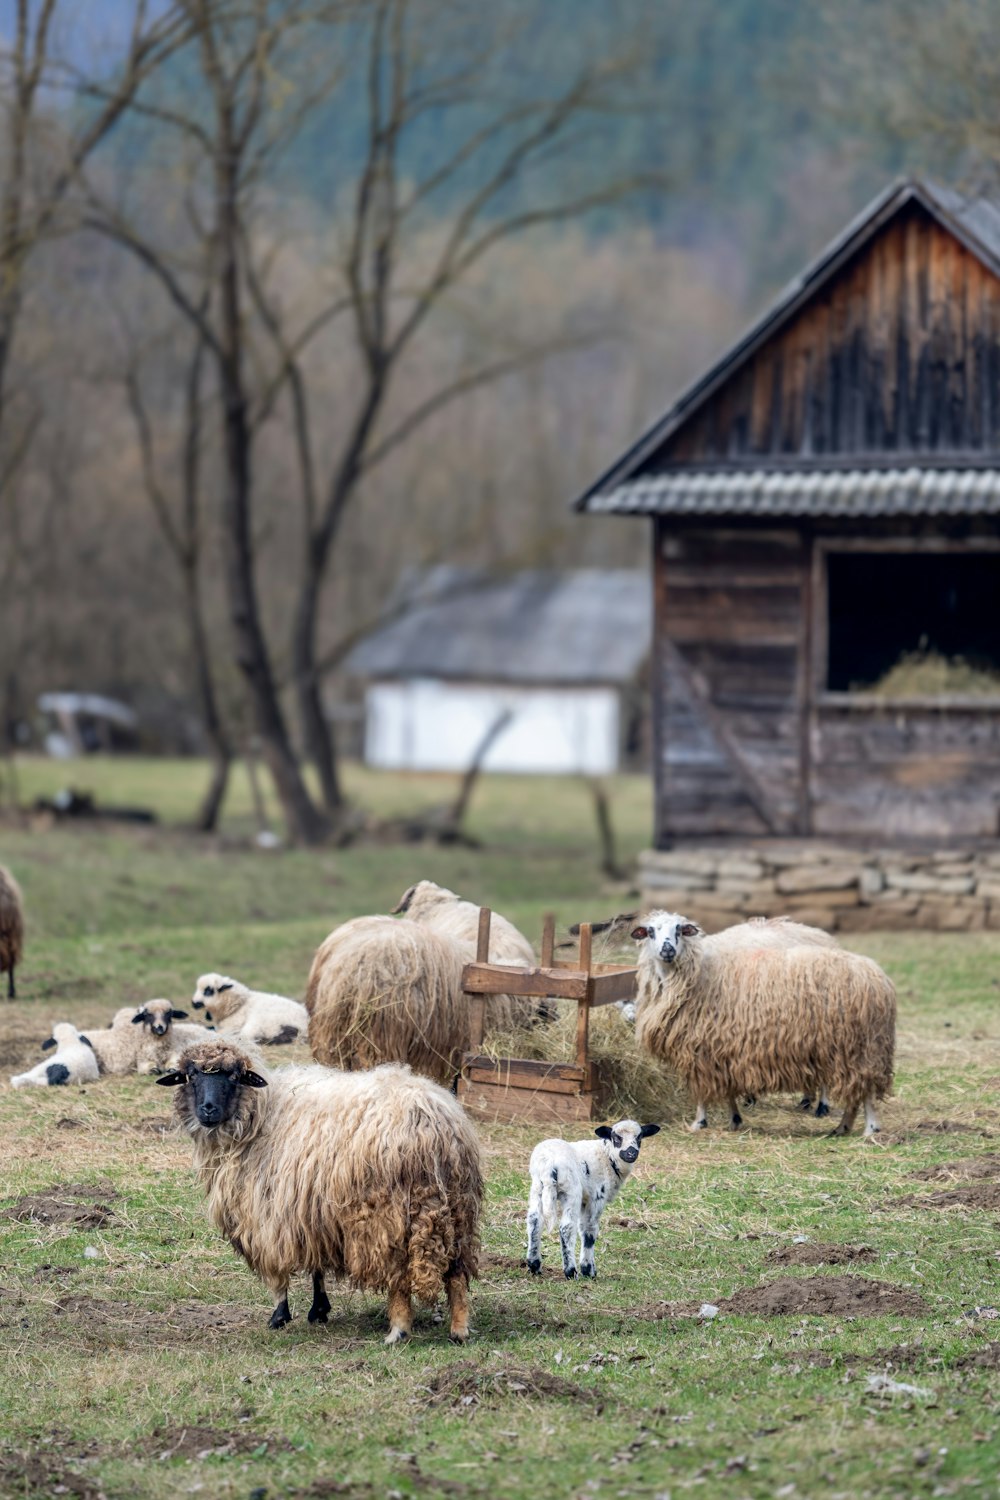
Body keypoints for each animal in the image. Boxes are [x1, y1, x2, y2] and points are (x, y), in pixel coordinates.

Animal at [157, 1038, 485, 1344]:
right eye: (191, 1076)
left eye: (234, 1076)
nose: (208, 1109)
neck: (258, 1115)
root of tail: (429, 1121)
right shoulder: (310, 1208)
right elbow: (316, 1265)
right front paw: (319, 1310)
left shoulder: (269, 1212)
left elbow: (278, 1271)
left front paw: (279, 1315)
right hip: (456, 1208)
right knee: (456, 1274)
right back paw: (459, 1330)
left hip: (385, 1214)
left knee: (399, 1277)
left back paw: (399, 1330)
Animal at [527, 1122, 659, 1284]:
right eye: (616, 1137)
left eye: (639, 1137)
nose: (631, 1153)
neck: (607, 1156)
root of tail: (548, 1164)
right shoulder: (596, 1197)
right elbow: (589, 1230)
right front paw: (588, 1270)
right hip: (571, 1191)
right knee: (566, 1227)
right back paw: (570, 1271)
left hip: (537, 1188)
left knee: (535, 1221)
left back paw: (534, 1265)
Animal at [632, 912, 899, 1134]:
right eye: (651, 932)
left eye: (679, 929)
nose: (667, 949)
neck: (697, 975)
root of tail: (878, 977)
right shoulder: (721, 1049)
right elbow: (727, 1090)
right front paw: (734, 1118)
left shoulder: (702, 1049)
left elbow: (702, 1092)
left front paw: (699, 1122)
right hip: (838, 1047)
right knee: (854, 1091)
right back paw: (840, 1126)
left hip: (859, 1048)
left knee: (864, 1091)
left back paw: (867, 1127)